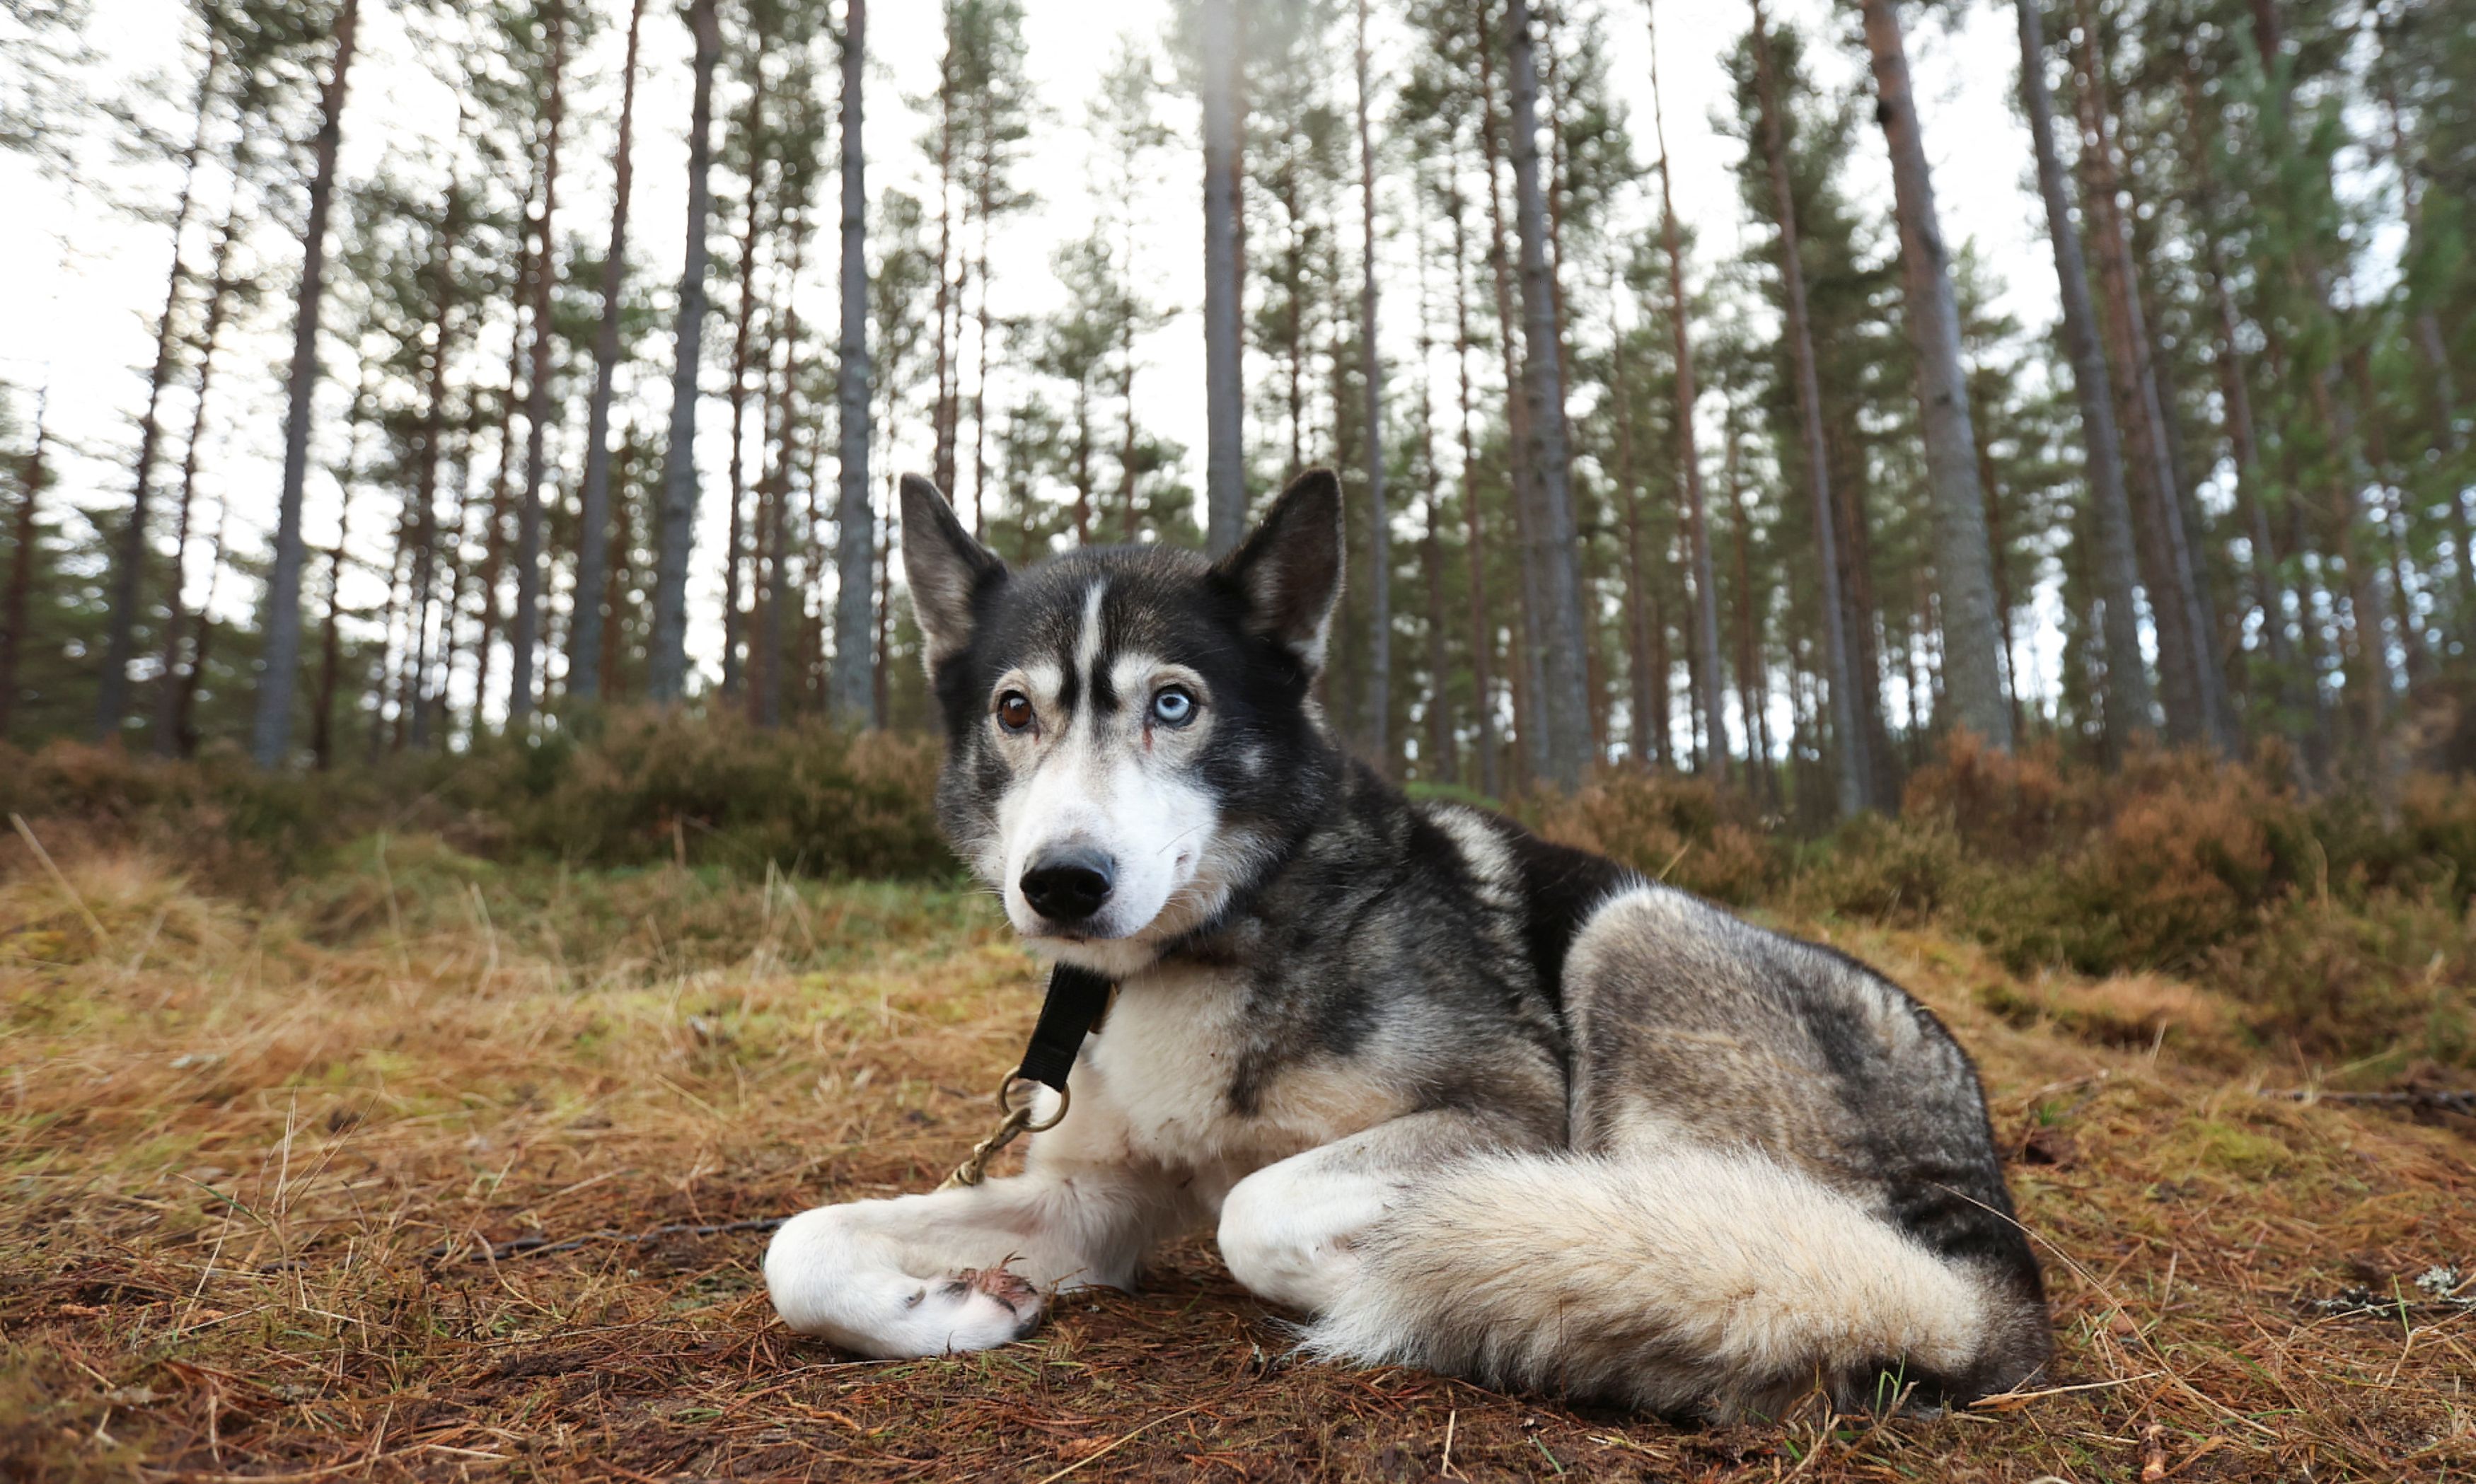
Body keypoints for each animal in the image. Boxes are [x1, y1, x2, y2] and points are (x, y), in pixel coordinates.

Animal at [758, 470, 2050, 1427]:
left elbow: (1257, 1211)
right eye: (1014, 710)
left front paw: (1420, 1276)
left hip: (1630, 927)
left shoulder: (1509, 1112)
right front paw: (952, 1305)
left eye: (1174, 703)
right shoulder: (1089, 1204)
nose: (1063, 884)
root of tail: (1996, 1265)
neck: (1227, 934)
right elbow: (798, 1243)